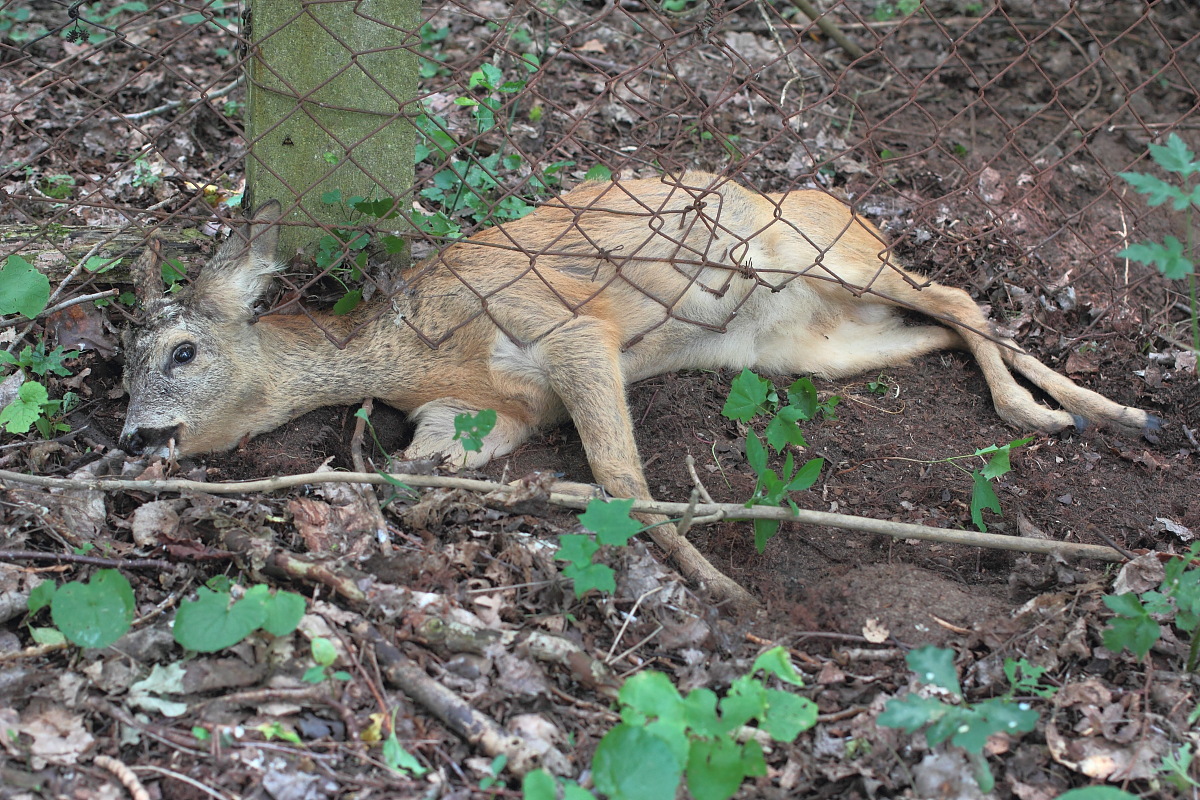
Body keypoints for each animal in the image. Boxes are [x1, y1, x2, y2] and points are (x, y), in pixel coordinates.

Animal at [117, 175, 1156, 609]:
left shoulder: (566, 327)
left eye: (180, 350)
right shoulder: (484, 418)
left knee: (956, 294)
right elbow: (420, 477)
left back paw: (1098, 410)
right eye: (120, 368)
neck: (412, 351)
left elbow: (621, 473)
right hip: (808, 348)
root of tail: (852, 212)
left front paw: (723, 587)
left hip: (830, 253)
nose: (128, 438)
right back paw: (1066, 409)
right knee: (939, 323)